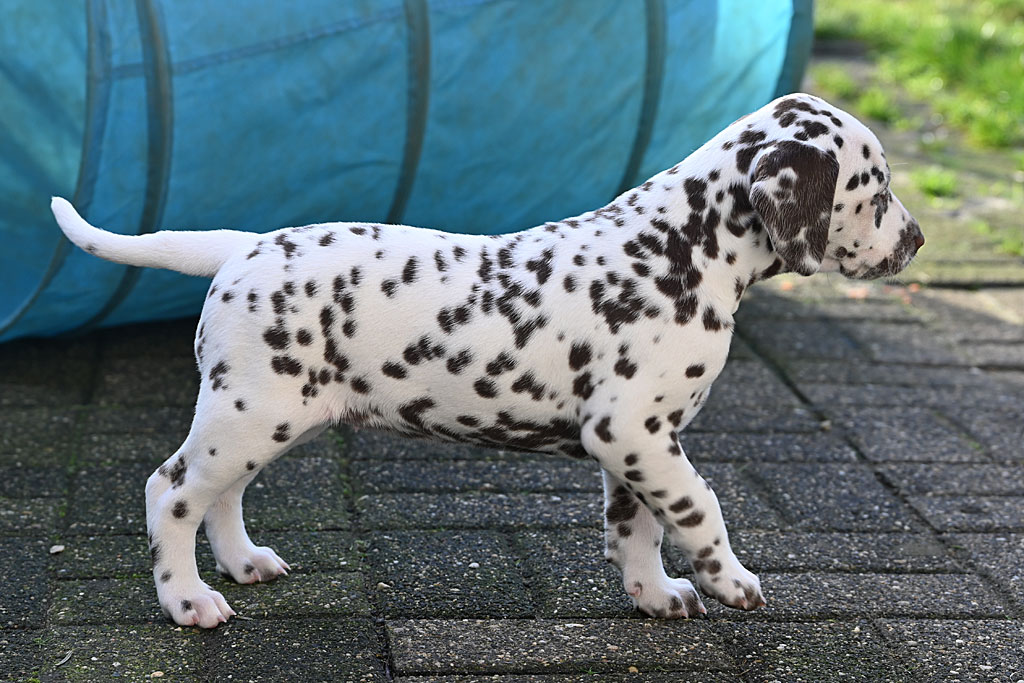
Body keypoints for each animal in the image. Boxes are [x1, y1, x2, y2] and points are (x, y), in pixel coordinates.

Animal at [51, 93, 923, 628]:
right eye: (875, 188)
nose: (916, 239)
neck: (680, 248)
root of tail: (242, 248)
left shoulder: (634, 446)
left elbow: (636, 527)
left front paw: (655, 593)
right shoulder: (638, 433)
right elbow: (699, 506)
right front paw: (727, 577)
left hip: (264, 421)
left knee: (219, 496)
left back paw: (241, 563)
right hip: (249, 417)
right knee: (170, 492)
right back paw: (188, 601)